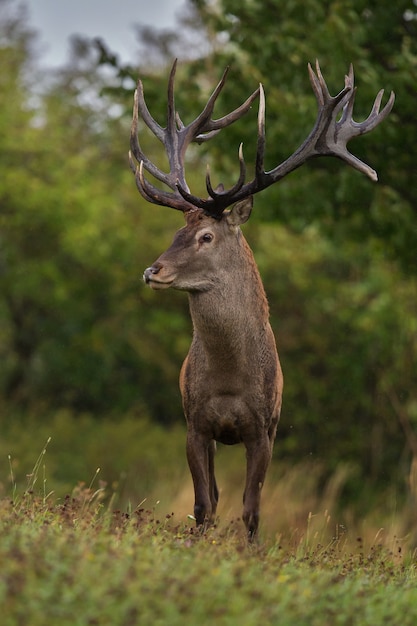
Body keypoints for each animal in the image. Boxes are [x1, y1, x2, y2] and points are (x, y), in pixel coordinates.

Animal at [129, 59, 394, 540]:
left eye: (206, 236)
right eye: (175, 232)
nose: (152, 271)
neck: (231, 380)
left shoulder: (264, 430)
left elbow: (252, 512)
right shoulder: (194, 424)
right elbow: (203, 505)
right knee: (214, 494)